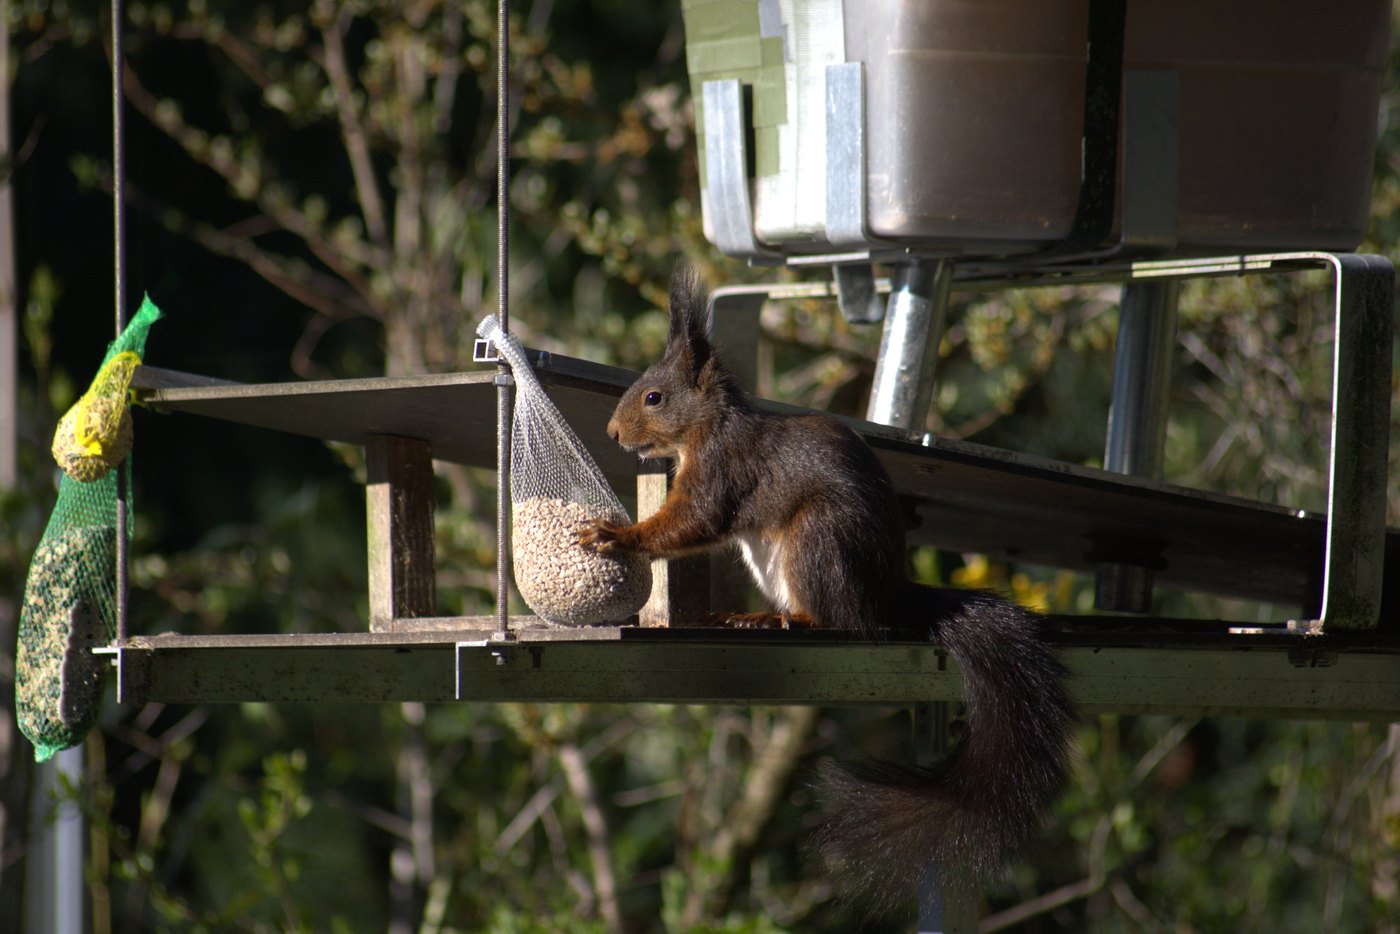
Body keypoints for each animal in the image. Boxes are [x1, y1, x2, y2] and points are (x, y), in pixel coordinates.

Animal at [578, 264, 1077, 906]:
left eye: (654, 396)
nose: (613, 432)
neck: (709, 427)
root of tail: (888, 593)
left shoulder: (722, 469)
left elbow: (693, 522)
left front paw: (618, 535)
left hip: (818, 540)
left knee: (842, 619)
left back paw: (778, 618)